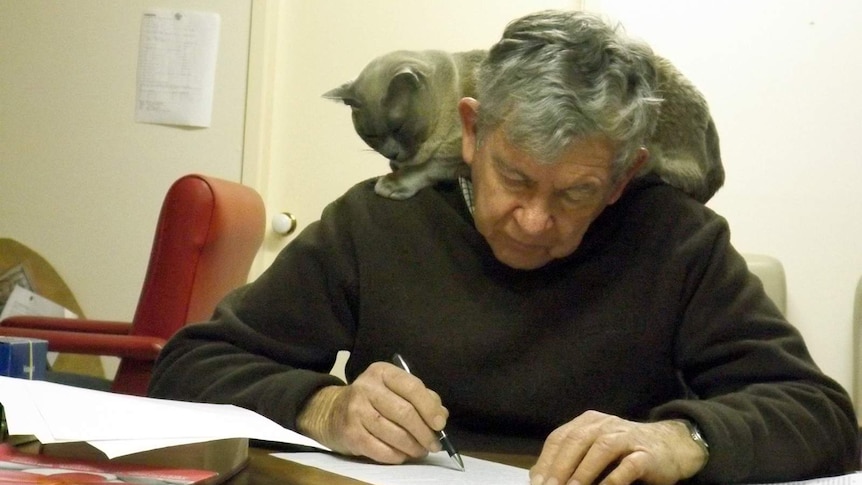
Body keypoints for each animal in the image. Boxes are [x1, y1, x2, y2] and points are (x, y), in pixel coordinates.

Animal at [328, 47, 724, 202]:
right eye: (371, 135)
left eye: (400, 129)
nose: (392, 154)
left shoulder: (458, 154)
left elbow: (427, 169)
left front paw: (393, 183)